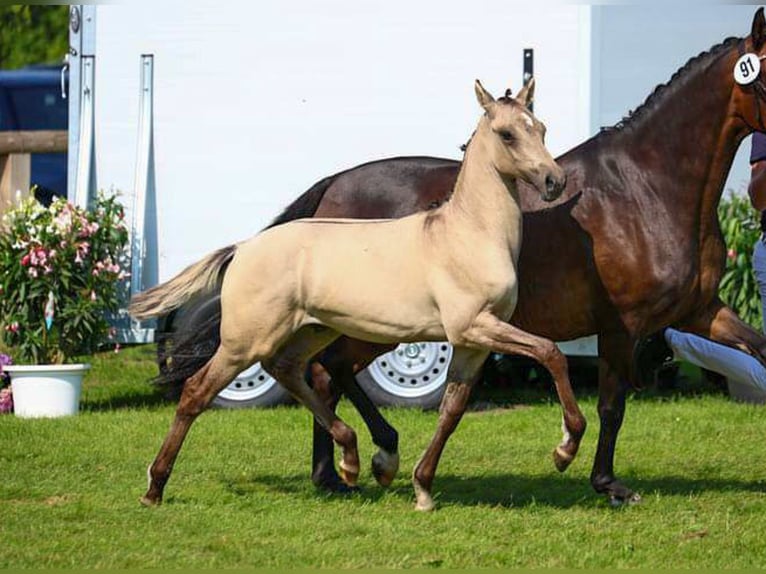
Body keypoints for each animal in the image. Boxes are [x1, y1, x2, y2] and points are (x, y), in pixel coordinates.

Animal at [160, 10, 766, 508]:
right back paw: (364, 461)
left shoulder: (700, 312)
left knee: (324, 372)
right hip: (371, 328)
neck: (643, 187)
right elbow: (612, 405)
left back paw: (343, 470)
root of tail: (334, 184)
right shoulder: (622, 326)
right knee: (325, 371)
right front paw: (605, 482)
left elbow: (757, 350)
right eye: (763, 76)